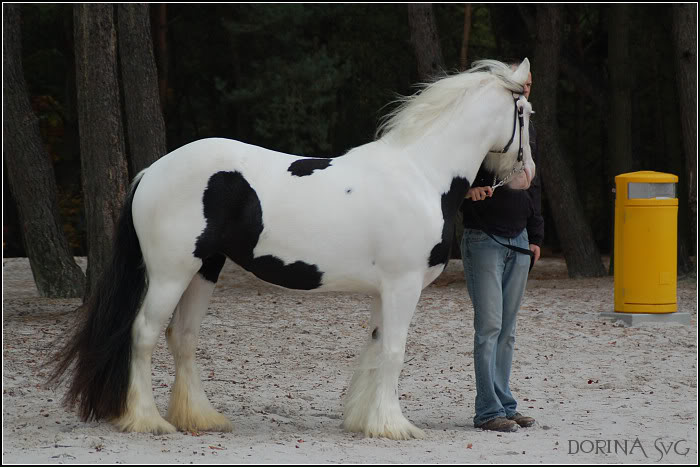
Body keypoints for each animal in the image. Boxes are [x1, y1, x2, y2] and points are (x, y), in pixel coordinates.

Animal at [50, 57, 536, 438]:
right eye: (525, 113)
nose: (527, 174)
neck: (419, 175)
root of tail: (151, 171)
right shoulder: (403, 286)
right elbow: (394, 351)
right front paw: (394, 425)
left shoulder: (385, 290)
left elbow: (376, 347)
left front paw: (366, 421)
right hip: (170, 273)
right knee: (144, 334)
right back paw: (146, 419)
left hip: (204, 270)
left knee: (183, 337)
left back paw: (200, 418)